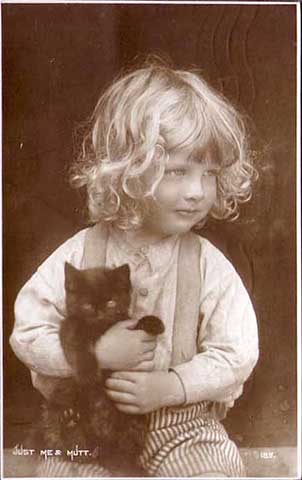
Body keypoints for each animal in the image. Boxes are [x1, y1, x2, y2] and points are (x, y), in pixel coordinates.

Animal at [32, 262, 164, 476]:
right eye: (87, 305)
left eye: (110, 302)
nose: (99, 312)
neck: (99, 329)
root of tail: (101, 445)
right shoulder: (70, 324)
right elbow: (76, 339)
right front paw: (87, 374)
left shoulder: (122, 322)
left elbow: (135, 323)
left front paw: (153, 322)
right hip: (54, 407)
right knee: (66, 444)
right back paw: (69, 420)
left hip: (134, 419)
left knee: (123, 449)